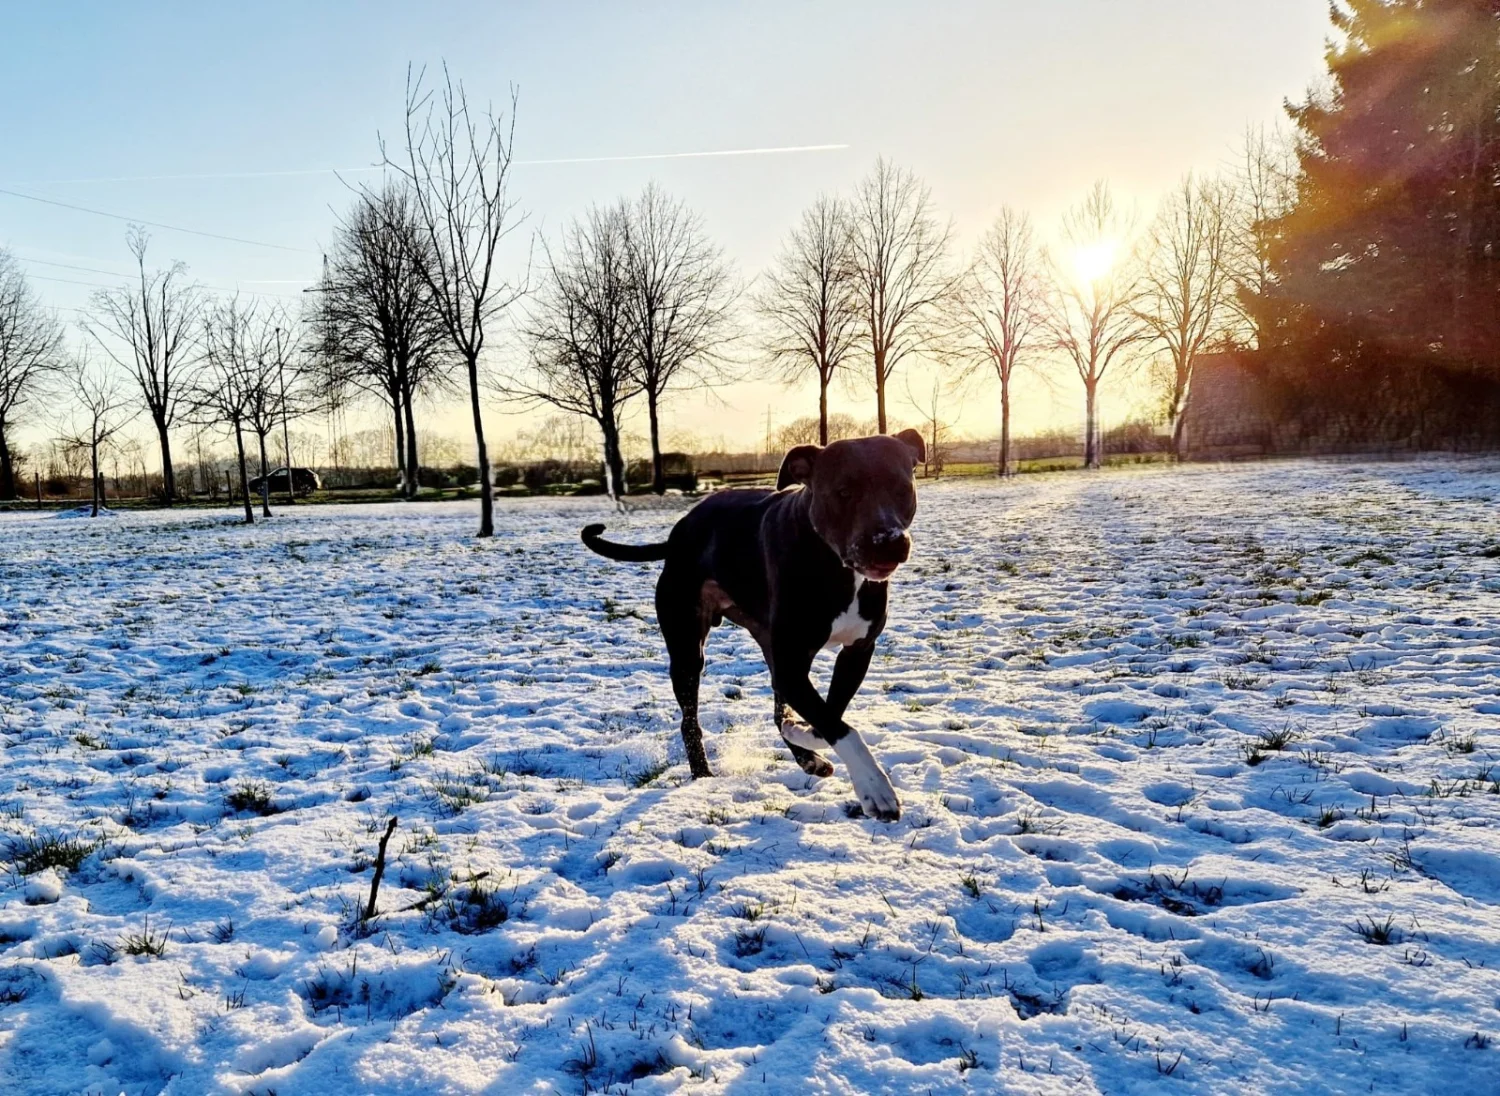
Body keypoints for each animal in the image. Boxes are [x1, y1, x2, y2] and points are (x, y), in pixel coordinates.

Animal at [582, 431, 924, 821]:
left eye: (902, 487)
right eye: (843, 491)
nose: (889, 542)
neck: (835, 567)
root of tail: (679, 531)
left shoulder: (855, 653)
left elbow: (828, 716)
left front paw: (802, 734)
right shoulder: (792, 666)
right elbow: (838, 725)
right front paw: (875, 787)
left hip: (767, 647)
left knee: (778, 711)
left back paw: (805, 756)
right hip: (687, 650)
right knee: (689, 720)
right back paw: (703, 775)